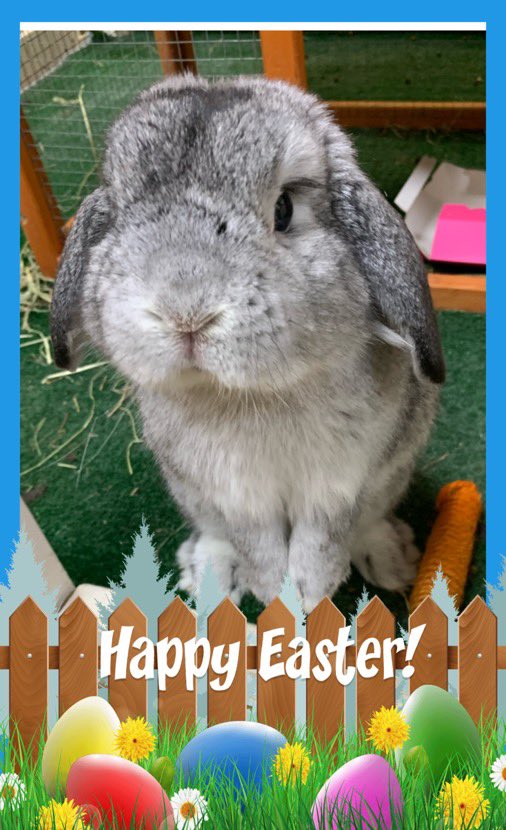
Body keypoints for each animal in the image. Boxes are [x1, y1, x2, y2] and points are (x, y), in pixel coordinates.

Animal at [50, 73, 445, 613]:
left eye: (284, 209)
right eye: (118, 215)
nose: (185, 312)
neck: (252, 395)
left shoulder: (344, 482)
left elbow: (325, 538)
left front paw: (310, 593)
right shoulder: (233, 496)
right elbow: (255, 543)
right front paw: (273, 590)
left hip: (394, 474)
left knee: (368, 523)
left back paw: (394, 559)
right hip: (189, 493)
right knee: (217, 535)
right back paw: (206, 577)